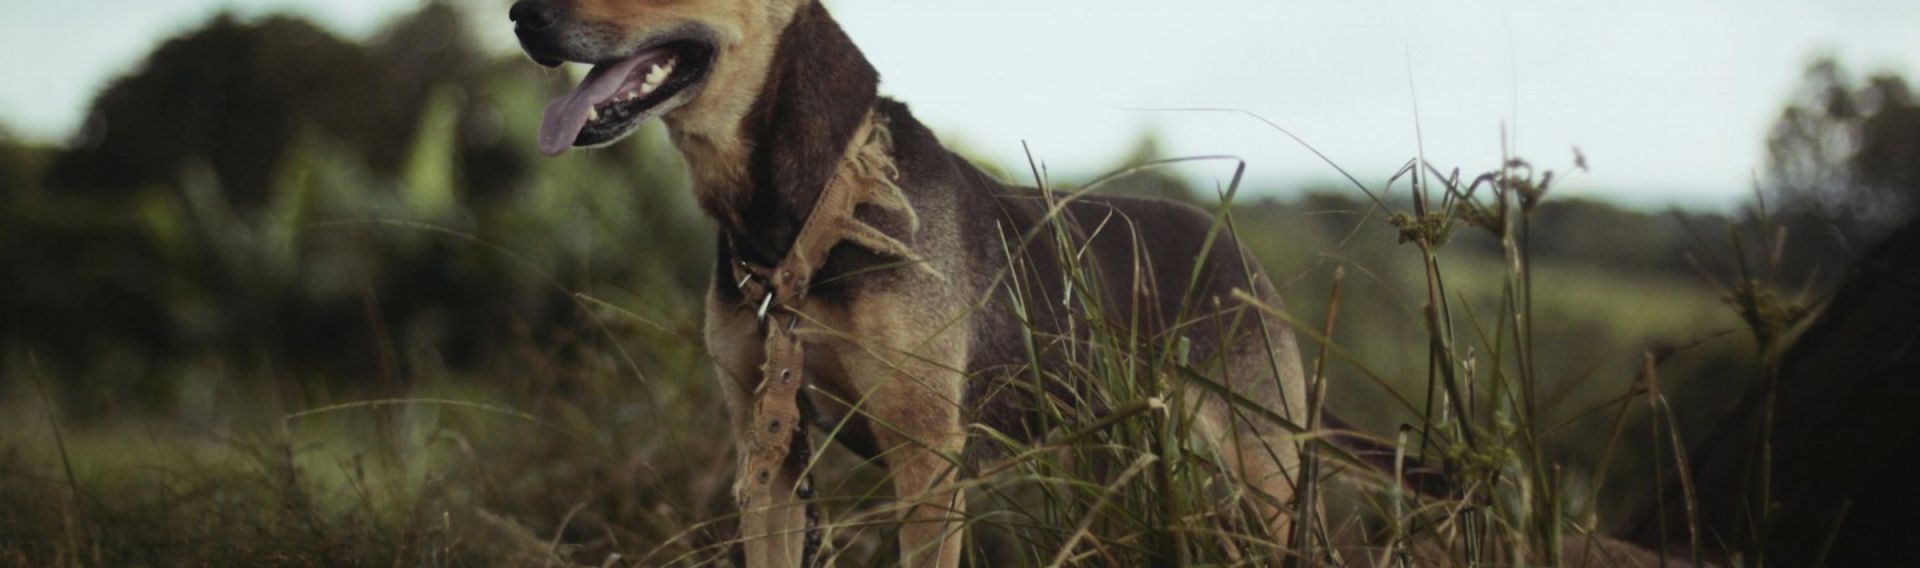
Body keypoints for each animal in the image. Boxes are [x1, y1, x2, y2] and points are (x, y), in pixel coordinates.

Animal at [510, 2, 1313, 564]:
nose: (520, 16)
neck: (817, 208)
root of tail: (1242, 257)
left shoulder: (925, 453)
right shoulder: (767, 449)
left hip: (1261, 470)